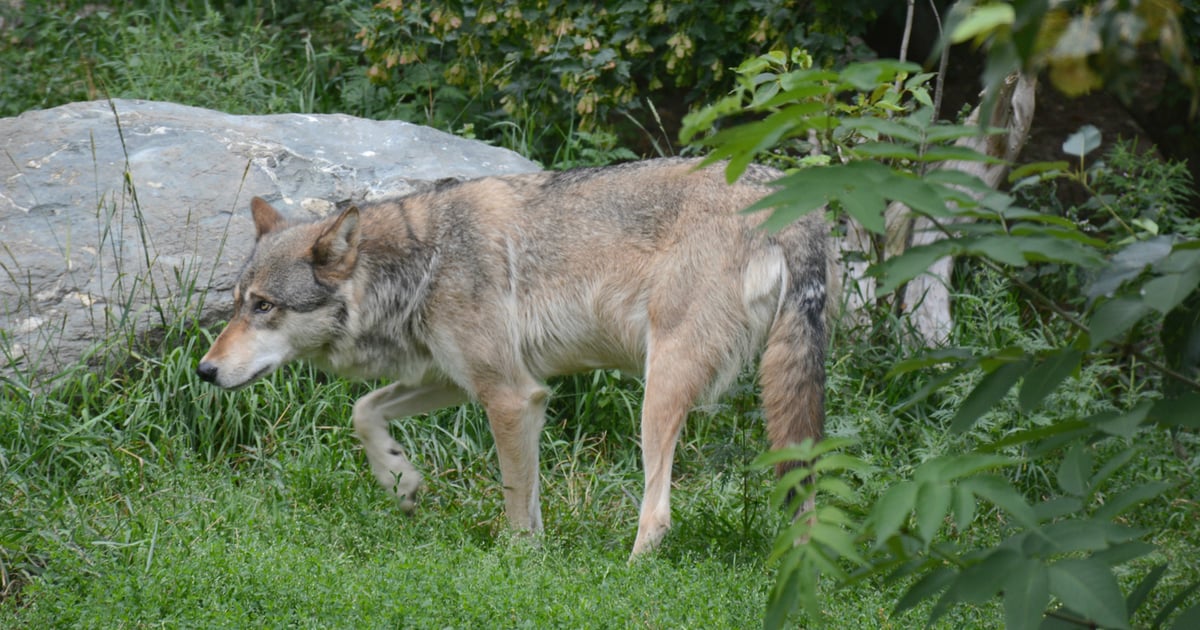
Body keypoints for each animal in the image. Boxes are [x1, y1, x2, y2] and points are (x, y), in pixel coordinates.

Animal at [197, 157, 828, 557]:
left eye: (263, 306)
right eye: (236, 304)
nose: (204, 370)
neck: (420, 262)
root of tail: (796, 200)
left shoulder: (510, 395)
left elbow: (516, 498)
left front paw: (520, 563)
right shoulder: (462, 379)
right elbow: (364, 411)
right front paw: (401, 479)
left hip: (660, 387)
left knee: (658, 514)